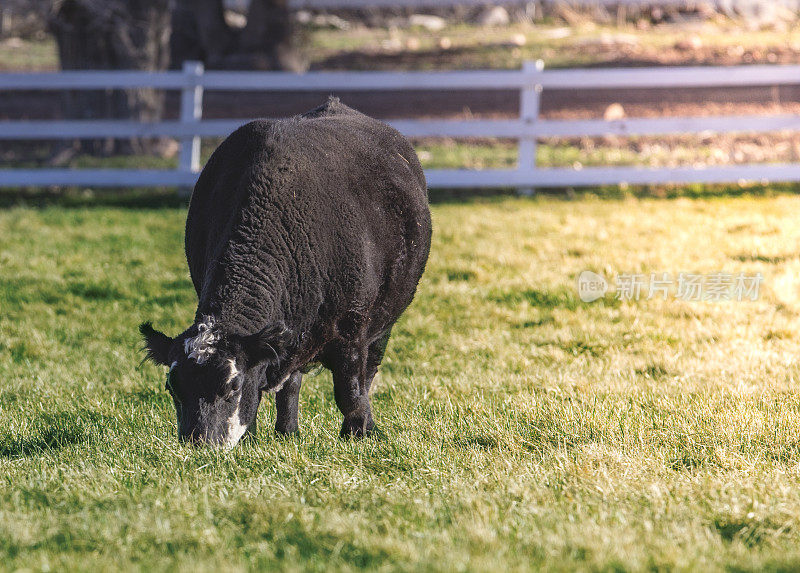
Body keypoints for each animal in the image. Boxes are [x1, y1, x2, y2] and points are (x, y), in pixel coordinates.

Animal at [141, 98, 434, 446]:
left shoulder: (352, 328)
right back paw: (287, 430)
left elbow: (349, 391)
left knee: (368, 374)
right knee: (292, 382)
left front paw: (356, 433)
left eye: (233, 386)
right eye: (172, 387)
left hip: (382, 323)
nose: (198, 442)